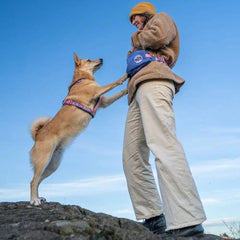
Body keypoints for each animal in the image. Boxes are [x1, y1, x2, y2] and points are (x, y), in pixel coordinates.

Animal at [29, 53, 127, 206]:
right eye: (89, 60)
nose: (101, 59)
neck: (82, 79)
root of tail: (37, 136)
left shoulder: (104, 102)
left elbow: (120, 92)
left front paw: (128, 88)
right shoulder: (97, 91)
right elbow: (115, 82)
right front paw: (126, 75)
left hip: (52, 165)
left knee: (38, 180)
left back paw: (39, 198)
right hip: (43, 161)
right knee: (33, 181)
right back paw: (34, 200)